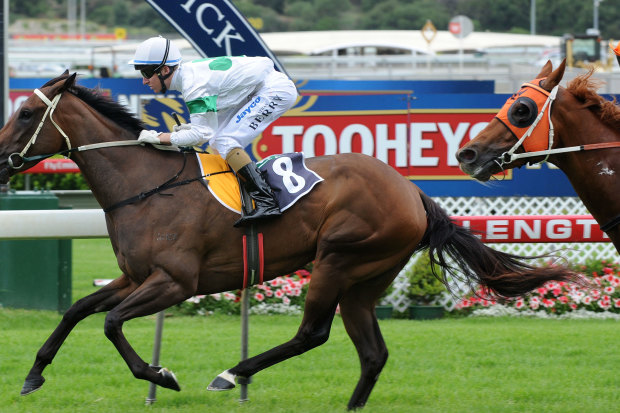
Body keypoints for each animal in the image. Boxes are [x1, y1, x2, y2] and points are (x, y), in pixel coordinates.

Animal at [1, 72, 580, 408]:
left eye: (26, 113)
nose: (2, 159)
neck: (147, 186)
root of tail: (412, 191)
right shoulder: (135, 276)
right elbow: (77, 310)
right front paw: (33, 376)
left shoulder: (174, 282)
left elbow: (111, 323)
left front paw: (160, 374)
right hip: (367, 279)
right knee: (372, 353)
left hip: (339, 259)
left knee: (312, 334)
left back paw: (232, 374)